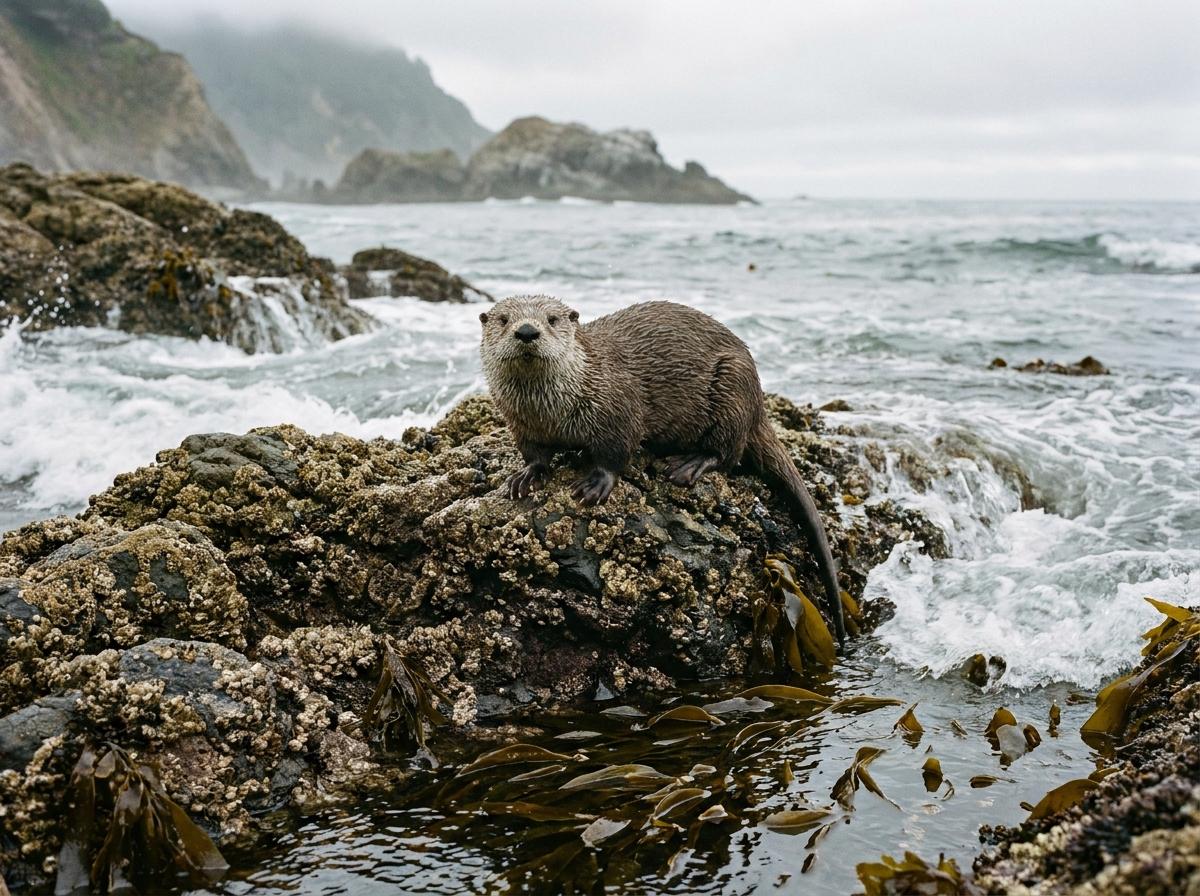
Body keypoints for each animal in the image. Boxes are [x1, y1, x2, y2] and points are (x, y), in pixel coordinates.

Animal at [479, 295, 846, 643]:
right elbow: (534, 455)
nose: (528, 331)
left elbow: (616, 451)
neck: (550, 410)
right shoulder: (520, 424)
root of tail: (758, 403)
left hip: (732, 387)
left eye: (552, 319)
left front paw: (596, 484)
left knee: (729, 452)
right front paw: (525, 476)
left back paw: (689, 464)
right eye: (504, 319)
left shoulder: (618, 407)